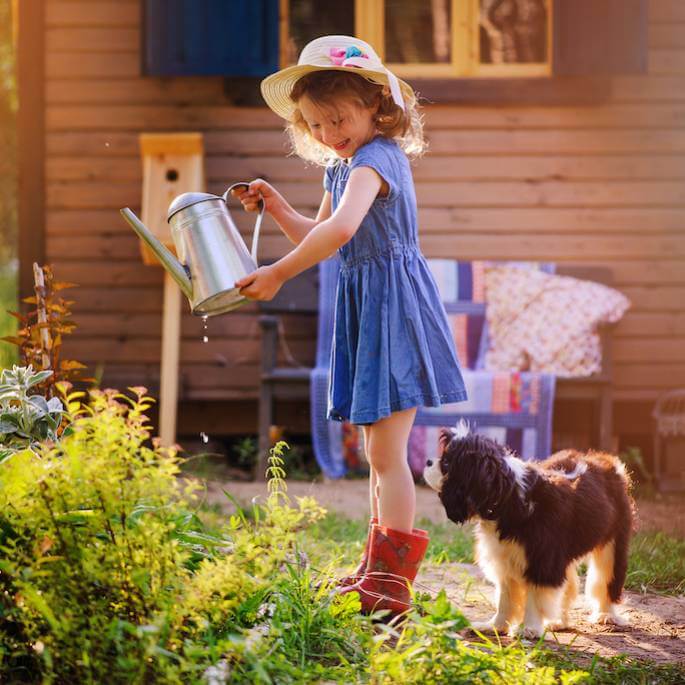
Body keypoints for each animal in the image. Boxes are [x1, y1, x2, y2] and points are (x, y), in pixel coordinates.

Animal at [424, 422, 632, 636]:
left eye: (446, 464)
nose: (428, 461)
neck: (509, 496)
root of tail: (601, 458)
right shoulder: (506, 560)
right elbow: (505, 598)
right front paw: (496, 626)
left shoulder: (542, 561)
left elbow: (535, 596)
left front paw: (529, 629)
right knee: (569, 584)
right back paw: (559, 621)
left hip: (612, 544)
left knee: (606, 578)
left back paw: (606, 615)